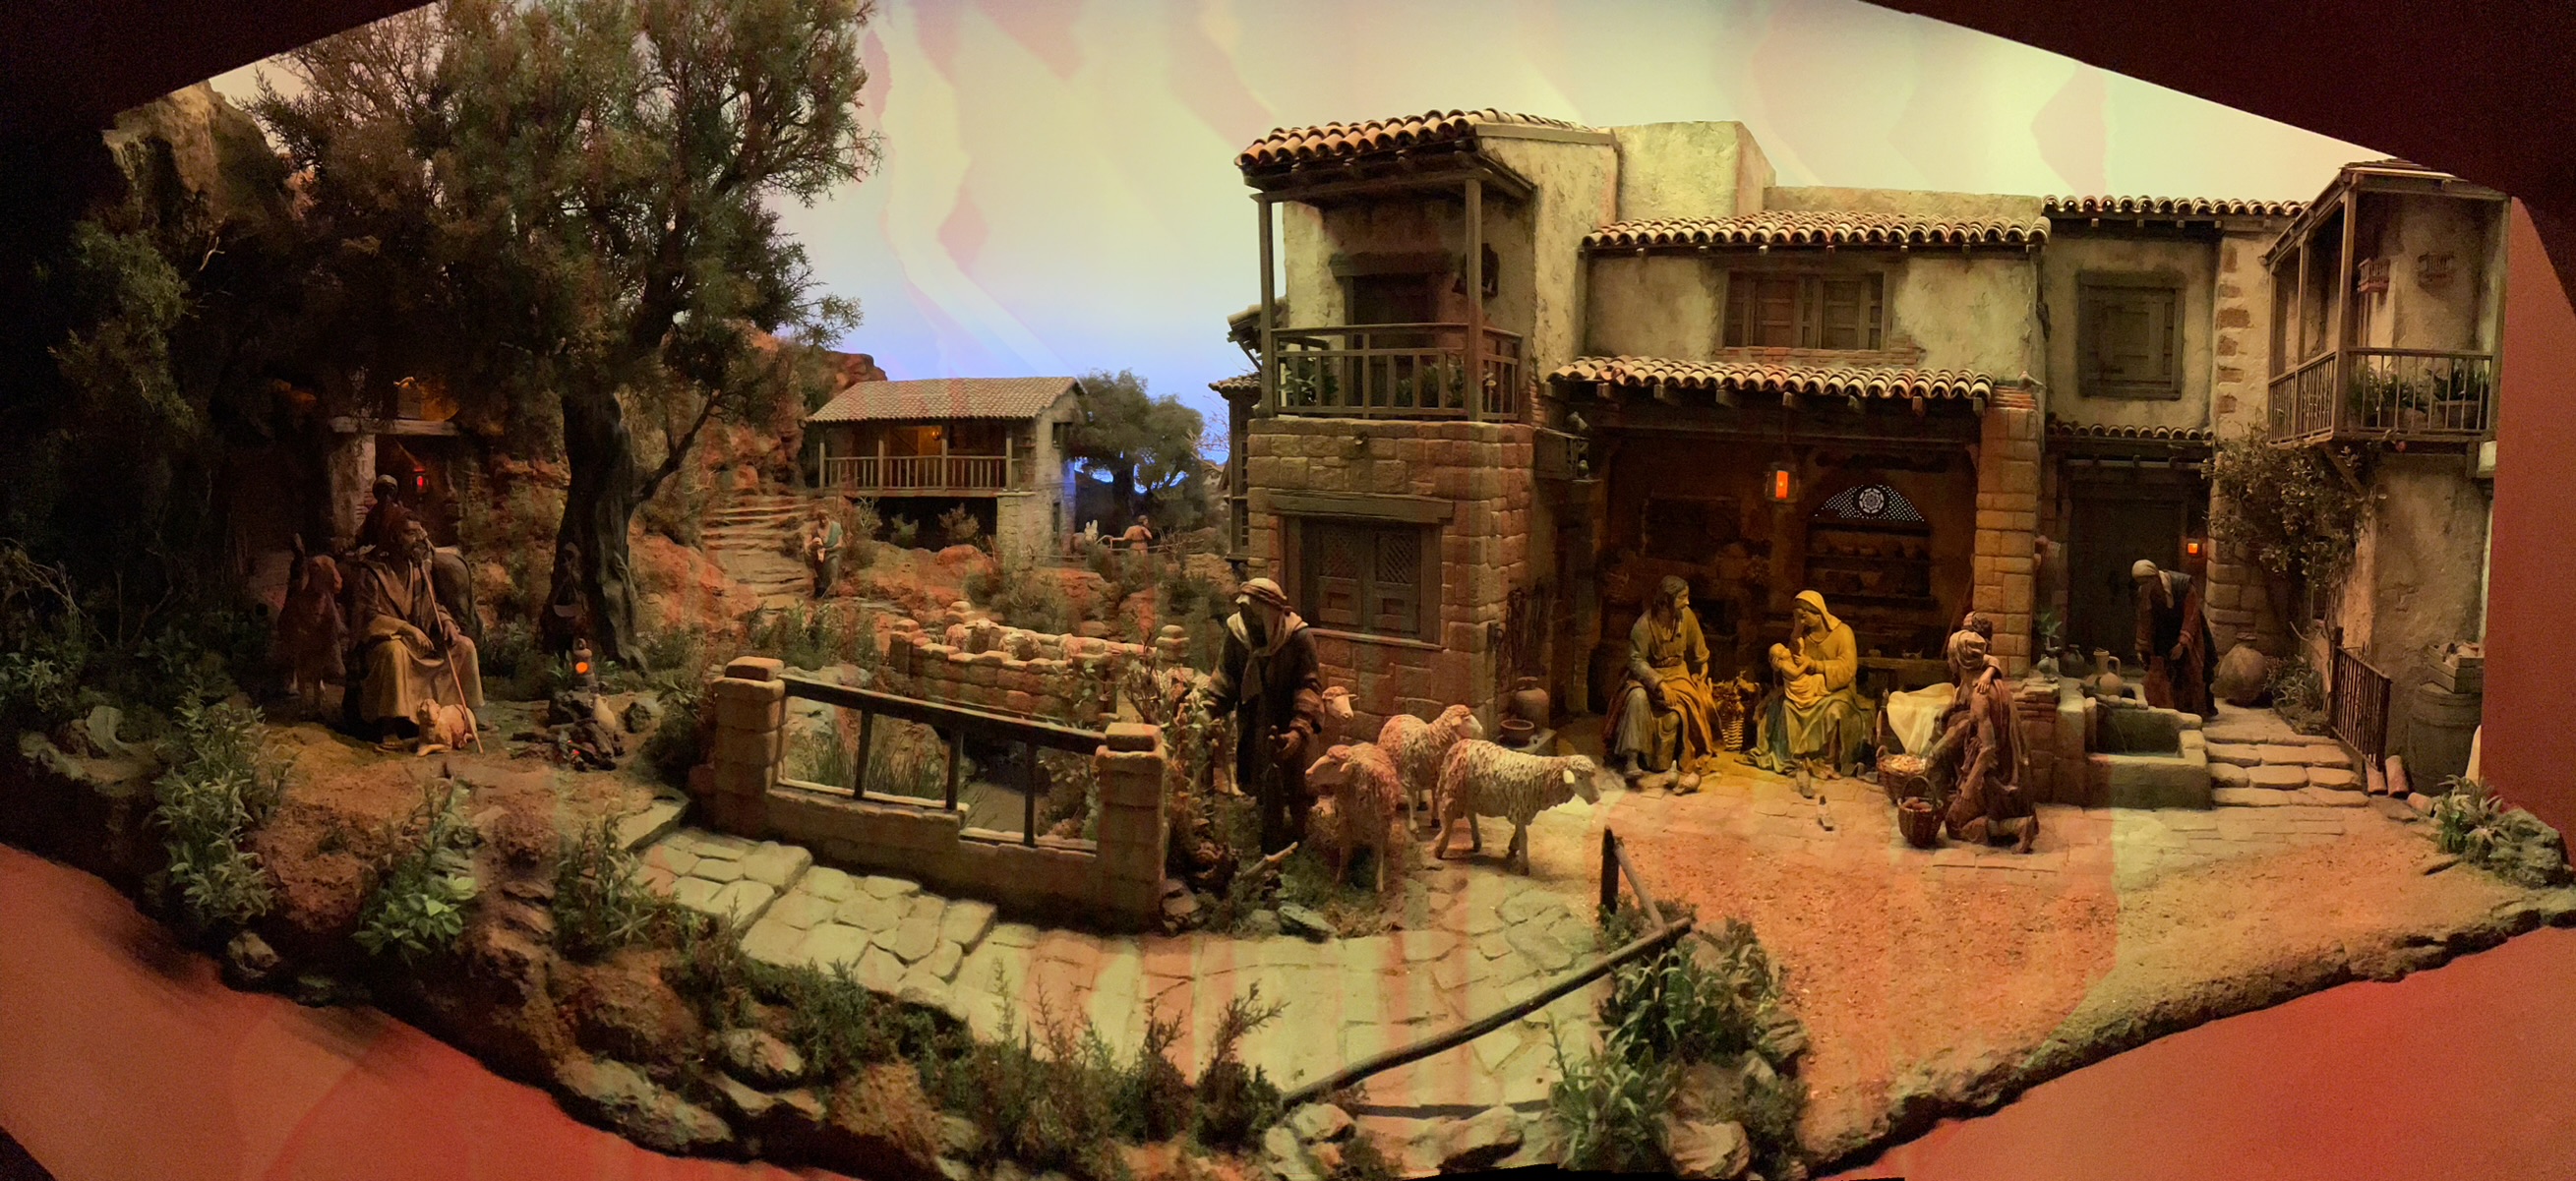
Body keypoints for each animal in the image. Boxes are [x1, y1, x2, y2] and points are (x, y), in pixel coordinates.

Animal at [1302, 742, 1411, 893]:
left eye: (1334, 763)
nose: (1308, 773)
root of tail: (1367, 744)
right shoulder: (1345, 823)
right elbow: (1344, 853)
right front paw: (1340, 877)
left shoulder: (1379, 827)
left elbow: (1379, 856)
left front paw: (1379, 884)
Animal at [1379, 704, 1485, 832]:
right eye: (1467, 719)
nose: (1482, 730)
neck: (1432, 741)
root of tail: (1401, 715)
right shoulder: (1409, 778)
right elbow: (1412, 800)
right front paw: (1413, 825)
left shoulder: (1435, 777)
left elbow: (1435, 799)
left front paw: (1435, 820)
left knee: (1421, 789)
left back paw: (1422, 802)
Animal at [1432, 740, 1613, 875]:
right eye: (1580, 777)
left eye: (1593, 776)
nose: (1597, 798)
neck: (1543, 777)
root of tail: (1459, 744)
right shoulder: (1520, 807)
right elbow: (1524, 836)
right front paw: (1524, 866)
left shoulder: (1524, 809)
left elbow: (1520, 832)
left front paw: (1513, 847)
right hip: (1455, 789)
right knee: (1449, 818)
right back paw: (1440, 848)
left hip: (1471, 793)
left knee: (1470, 813)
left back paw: (1476, 841)